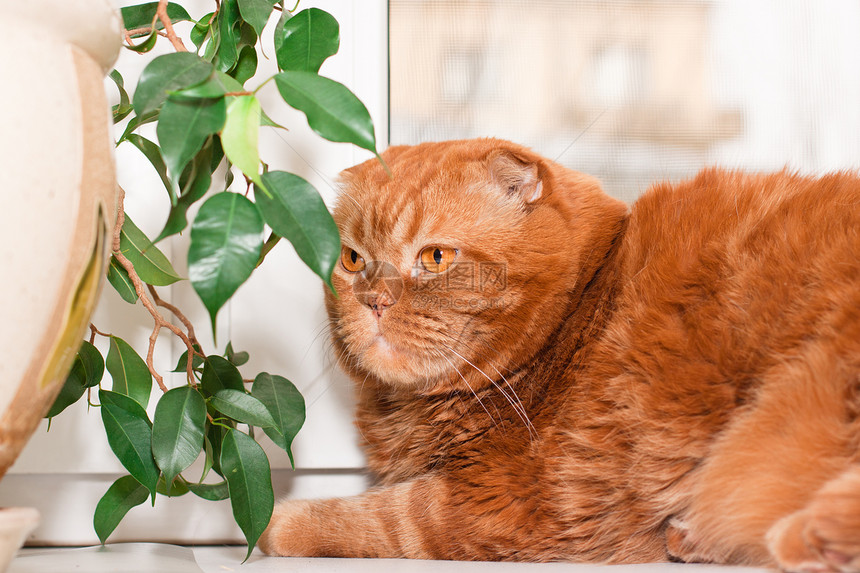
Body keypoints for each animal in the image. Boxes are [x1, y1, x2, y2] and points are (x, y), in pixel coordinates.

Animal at [260, 137, 860, 568]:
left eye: (434, 258)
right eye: (352, 260)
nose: (374, 301)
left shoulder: (507, 501)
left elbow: (376, 517)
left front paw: (275, 523)